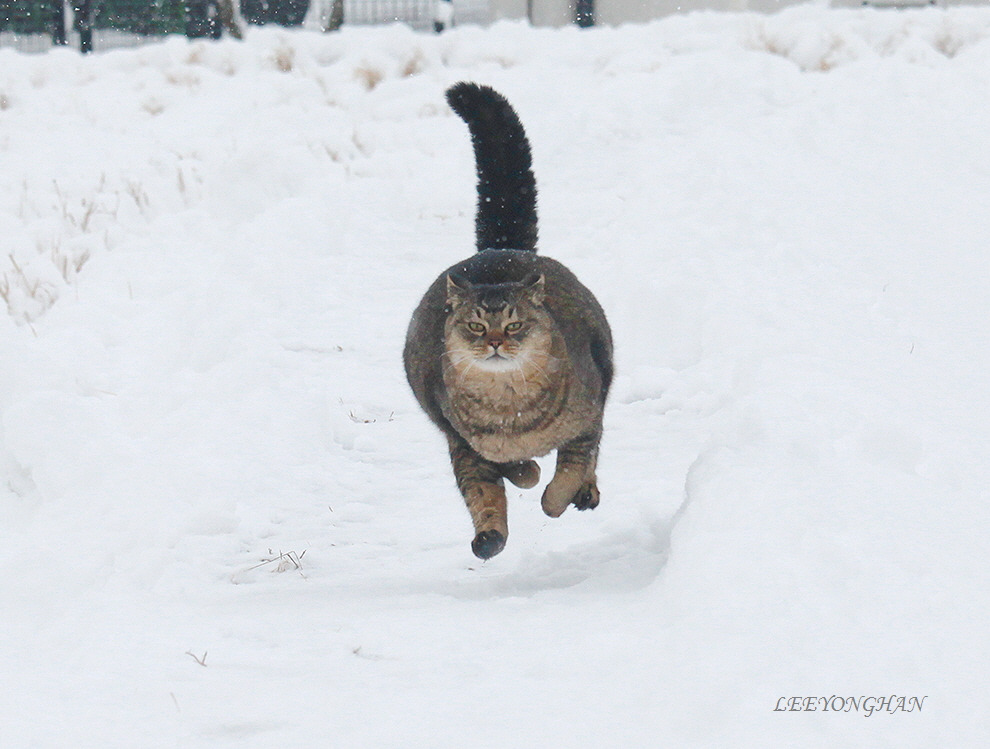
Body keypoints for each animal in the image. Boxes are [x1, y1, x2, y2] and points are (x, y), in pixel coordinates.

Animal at [404, 83, 612, 560]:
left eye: (515, 325)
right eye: (476, 326)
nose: (496, 341)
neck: (509, 406)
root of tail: (494, 248)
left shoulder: (588, 411)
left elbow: (574, 464)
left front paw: (556, 497)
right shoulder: (461, 439)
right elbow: (489, 485)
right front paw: (492, 532)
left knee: (591, 457)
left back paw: (585, 494)